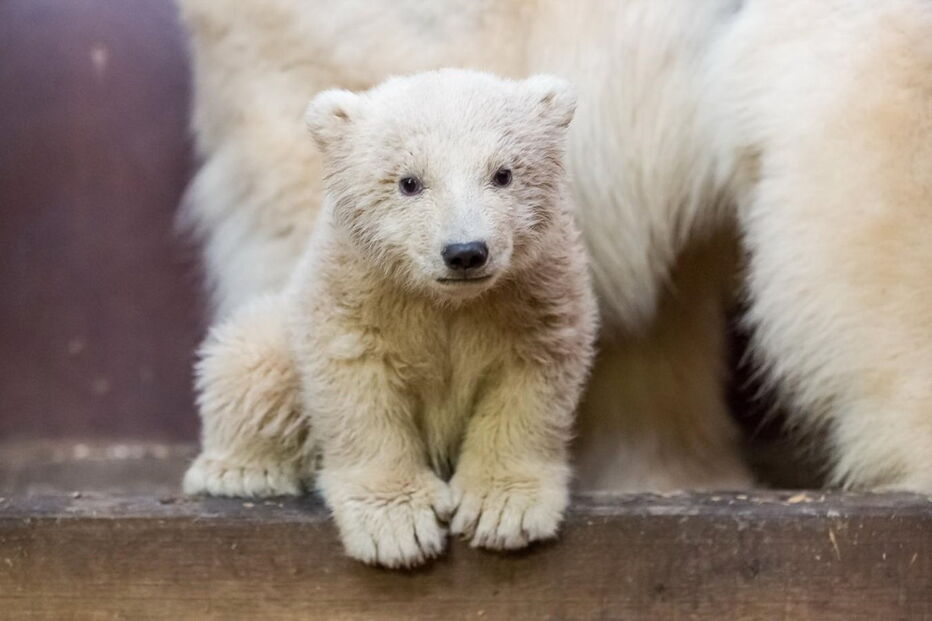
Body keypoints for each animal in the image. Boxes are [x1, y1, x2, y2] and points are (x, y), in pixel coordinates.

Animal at [184, 69, 598, 568]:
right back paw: (241, 470)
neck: (447, 301)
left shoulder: (534, 294)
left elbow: (530, 385)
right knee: (248, 358)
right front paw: (398, 527)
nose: (465, 252)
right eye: (409, 182)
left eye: (504, 173)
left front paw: (501, 511)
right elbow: (359, 395)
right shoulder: (356, 296)